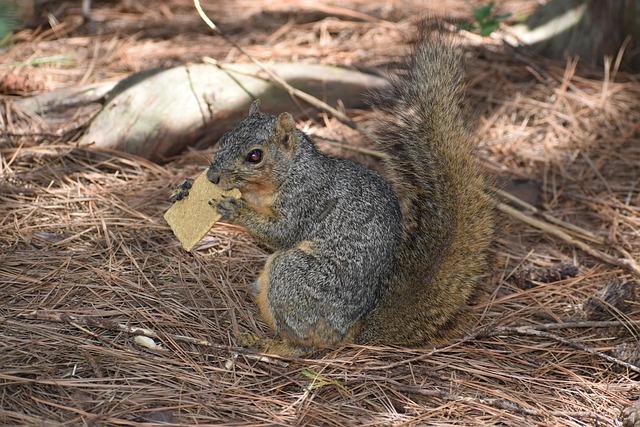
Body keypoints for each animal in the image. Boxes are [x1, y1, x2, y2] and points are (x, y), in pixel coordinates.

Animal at [172, 25, 492, 356]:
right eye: (224, 138)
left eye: (255, 156)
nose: (212, 176)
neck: (278, 180)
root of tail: (354, 331)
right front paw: (185, 188)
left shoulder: (307, 199)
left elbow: (282, 233)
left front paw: (235, 210)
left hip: (295, 276)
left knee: (304, 344)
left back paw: (269, 345)